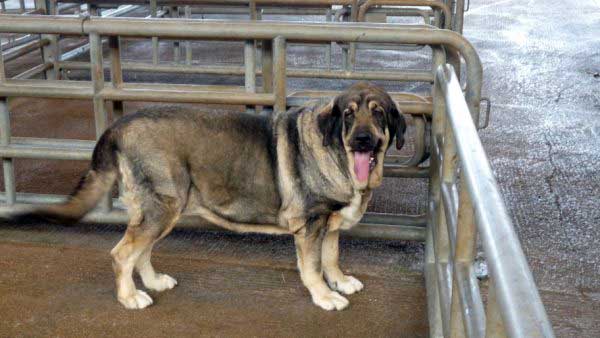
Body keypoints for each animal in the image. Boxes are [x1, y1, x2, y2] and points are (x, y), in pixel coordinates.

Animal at [7, 82, 406, 312]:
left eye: (378, 113)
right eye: (348, 115)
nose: (362, 140)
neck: (338, 155)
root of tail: (117, 127)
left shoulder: (330, 224)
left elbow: (332, 256)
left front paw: (339, 280)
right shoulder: (310, 225)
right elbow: (312, 267)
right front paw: (324, 296)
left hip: (162, 210)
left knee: (141, 252)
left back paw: (153, 281)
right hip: (162, 208)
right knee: (122, 254)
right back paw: (130, 297)